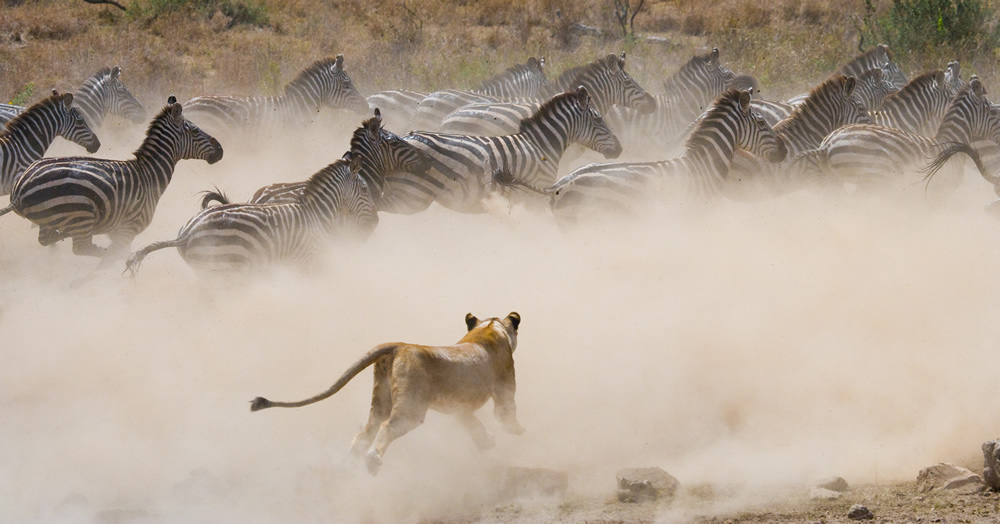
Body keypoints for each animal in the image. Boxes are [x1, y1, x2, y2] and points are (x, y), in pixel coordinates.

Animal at [250, 312, 524, 475]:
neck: (490, 328)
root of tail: (399, 345)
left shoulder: (459, 408)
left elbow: (472, 424)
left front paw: (486, 442)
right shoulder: (504, 387)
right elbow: (505, 414)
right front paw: (517, 431)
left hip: (380, 399)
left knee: (364, 432)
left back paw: (348, 466)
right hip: (411, 408)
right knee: (387, 427)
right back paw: (372, 462)